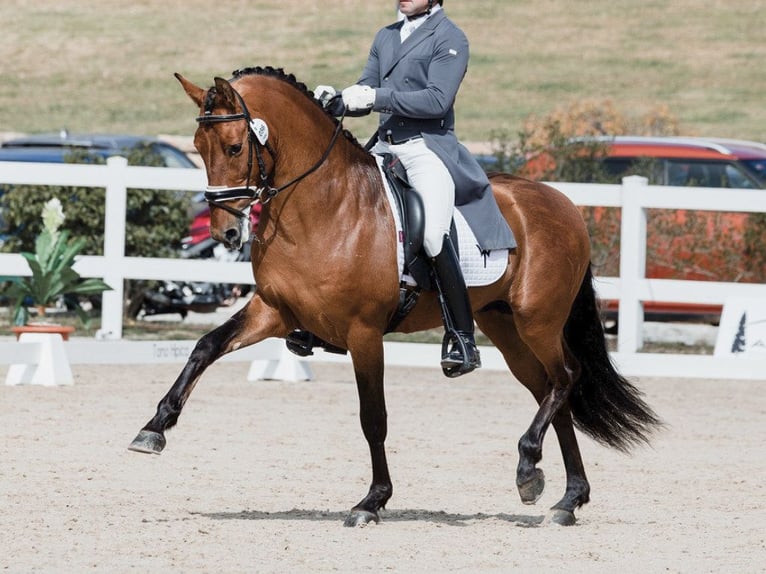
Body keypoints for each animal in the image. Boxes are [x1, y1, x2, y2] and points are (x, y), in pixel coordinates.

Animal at [129, 66, 664, 528]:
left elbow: (374, 418)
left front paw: (372, 501)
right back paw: (567, 499)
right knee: (552, 390)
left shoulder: (364, 333)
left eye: (236, 145)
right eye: (198, 148)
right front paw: (153, 428)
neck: (322, 206)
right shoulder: (274, 311)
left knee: (567, 377)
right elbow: (205, 347)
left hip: (538, 320)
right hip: (506, 327)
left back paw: (529, 467)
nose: (224, 232)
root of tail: (565, 203)